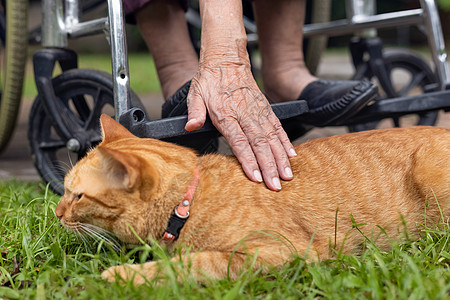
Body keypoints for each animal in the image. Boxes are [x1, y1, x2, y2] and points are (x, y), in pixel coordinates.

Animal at [55, 113, 450, 284]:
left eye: (77, 195)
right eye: (64, 191)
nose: (57, 213)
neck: (189, 202)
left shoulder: (285, 252)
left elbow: (193, 263)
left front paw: (122, 275)